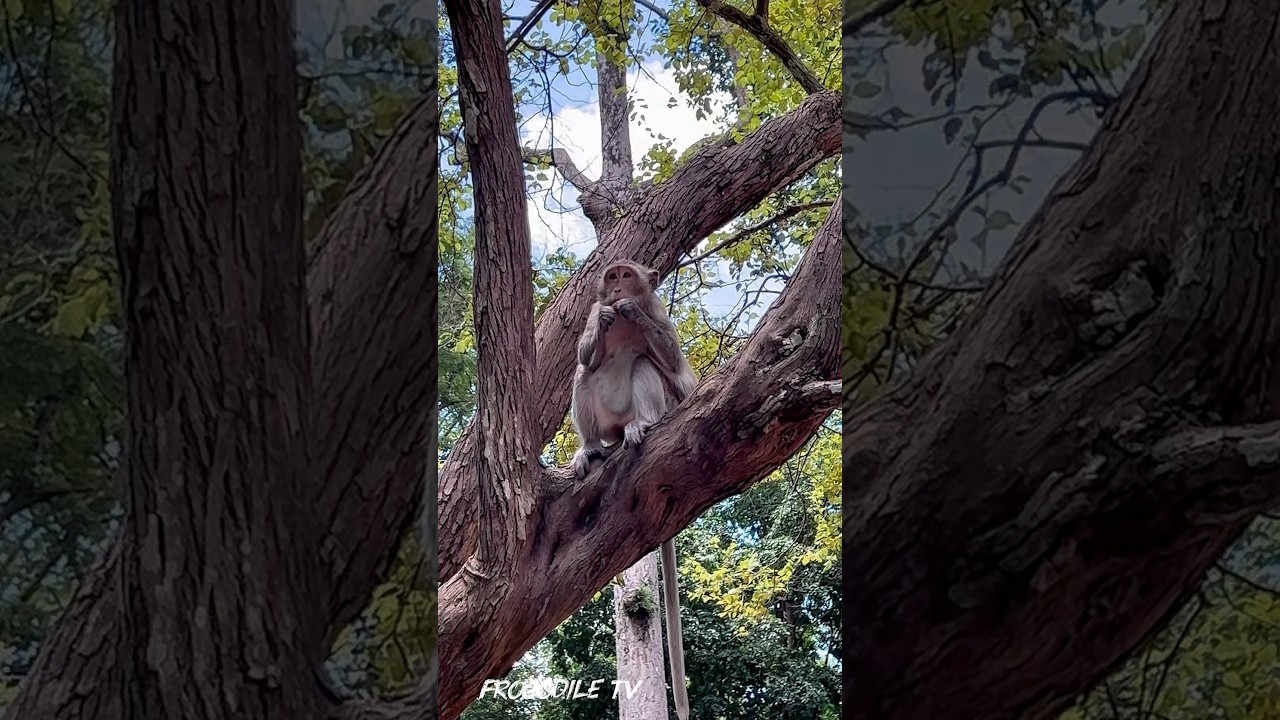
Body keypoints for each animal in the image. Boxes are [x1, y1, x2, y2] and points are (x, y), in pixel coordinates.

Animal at [569, 259, 695, 720]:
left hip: (666, 407)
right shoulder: (593, 309)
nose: (619, 288)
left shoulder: (660, 312)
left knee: (645, 364)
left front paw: (632, 314)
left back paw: (642, 424)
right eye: (612, 277)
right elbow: (585, 351)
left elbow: (670, 357)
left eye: (627, 275)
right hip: (606, 421)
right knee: (585, 374)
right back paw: (590, 449)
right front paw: (608, 319)